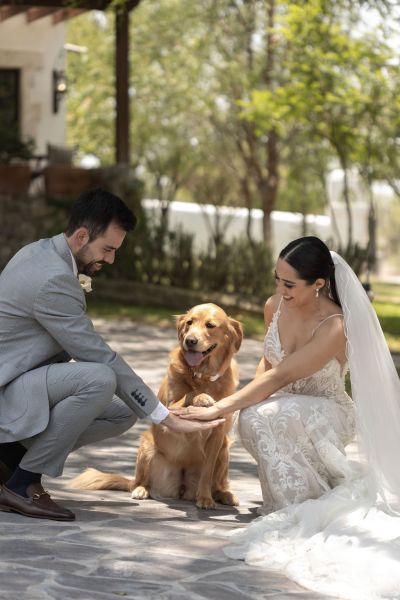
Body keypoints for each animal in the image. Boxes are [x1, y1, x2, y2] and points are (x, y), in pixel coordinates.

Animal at [70, 302, 242, 508]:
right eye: (190, 322)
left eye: (210, 325)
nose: (190, 341)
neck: (202, 375)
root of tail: (182, 486)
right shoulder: (171, 406)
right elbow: (189, 395)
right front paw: (202, 397)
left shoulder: (218, 434)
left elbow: (207, 472)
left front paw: (205, 497)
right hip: (147, 445)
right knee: (141, 482)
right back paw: (141, 489)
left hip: (224, 450)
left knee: (218, 483)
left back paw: (224, 494)